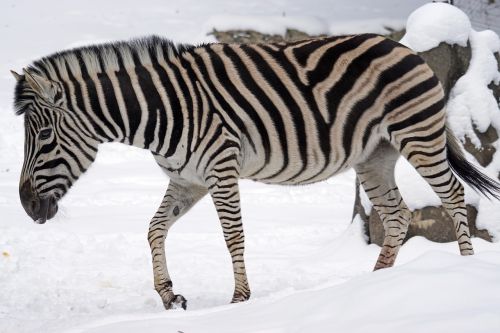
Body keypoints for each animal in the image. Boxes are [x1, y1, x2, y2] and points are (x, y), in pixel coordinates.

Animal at [11, 33, 500, 308]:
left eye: (45, 136)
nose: (27, 207)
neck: (160, 111)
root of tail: (406, 49)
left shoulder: (220, 168)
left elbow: (233, 236)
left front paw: (239, 300)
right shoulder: (186, 181)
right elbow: (153, 229)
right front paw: (169, 294)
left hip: (416, 135)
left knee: (453, 196)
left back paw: (462, 270)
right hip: (374, 155)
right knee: (397, 215)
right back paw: (380, 282)